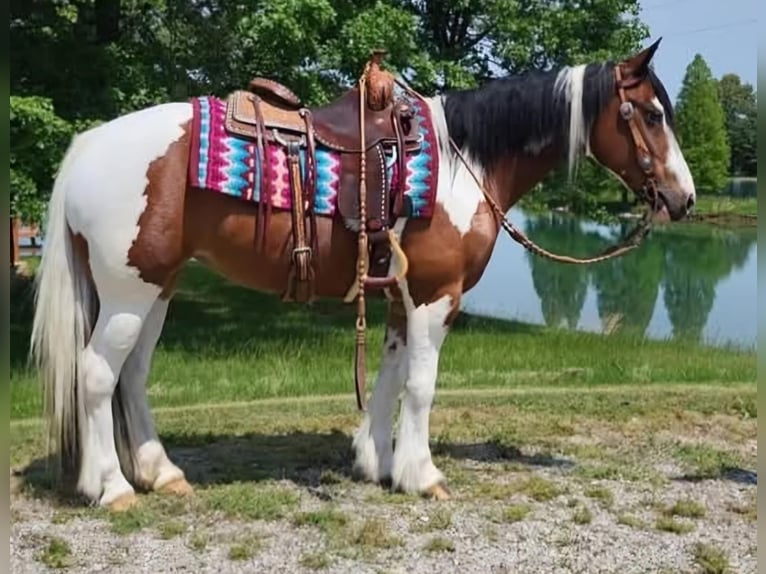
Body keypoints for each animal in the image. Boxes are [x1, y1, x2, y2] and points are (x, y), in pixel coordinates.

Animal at [30, 39, 695, 511]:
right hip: (129, 291)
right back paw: (112, 488)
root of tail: (88, 145)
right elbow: (421, 385)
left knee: (132, 376)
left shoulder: (403, 296)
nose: (684, 199)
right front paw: (422, 475)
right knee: (96, 375)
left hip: (156, 289)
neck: (464, 161)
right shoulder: (434, 296)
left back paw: (160, 473)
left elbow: (389, 376)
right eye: (651, 113)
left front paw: (376, 463)